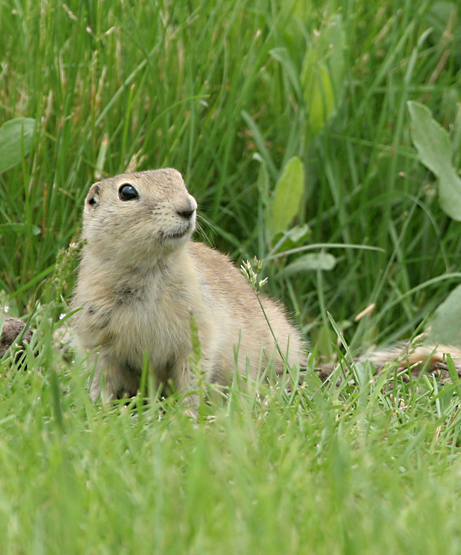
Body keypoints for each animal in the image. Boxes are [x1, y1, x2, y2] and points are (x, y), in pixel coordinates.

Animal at [72, 168, 304, 404]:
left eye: (178, 177)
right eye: (127, 192)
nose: (188, 208)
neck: (149, 270)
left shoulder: (198, 328)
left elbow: (192, 376)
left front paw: (189, 411)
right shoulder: (96, 337)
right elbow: (100, 377)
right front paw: (97, 407)